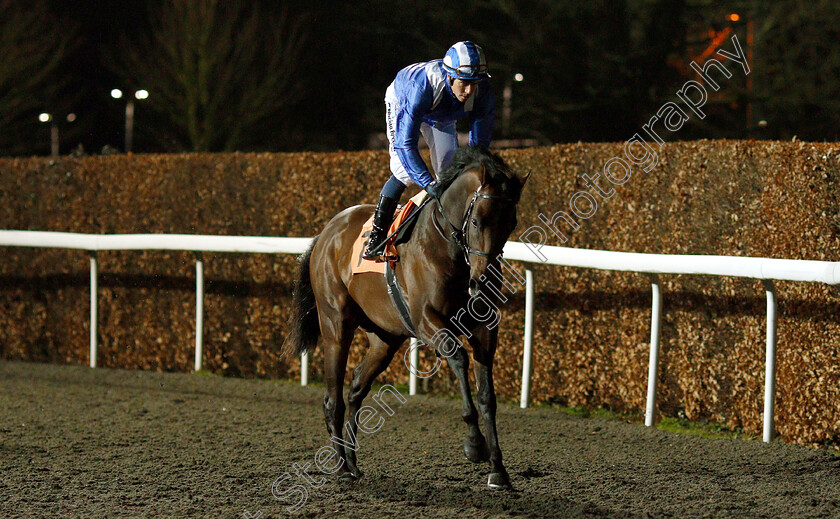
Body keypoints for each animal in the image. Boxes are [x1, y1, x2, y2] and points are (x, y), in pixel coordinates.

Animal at [286, 147, 528, 492]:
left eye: (511, 222)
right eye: (477, 221)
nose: (484, 282)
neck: (447, 247)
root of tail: (324, 234)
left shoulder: (484, 329)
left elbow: (487, 396)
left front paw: (498, 470)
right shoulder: (426, 320)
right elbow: (458, 357)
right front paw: (474, 444)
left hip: (385, 338)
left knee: (356, 388)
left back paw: (352, 462)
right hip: (335, 325)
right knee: (333, 399)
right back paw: (342, 468)